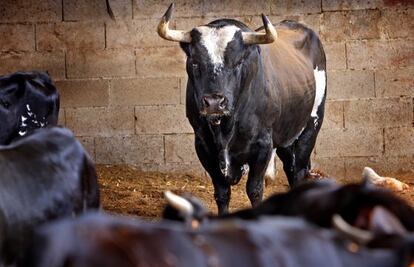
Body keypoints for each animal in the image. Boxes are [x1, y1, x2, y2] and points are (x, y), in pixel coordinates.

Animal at [158, 3, 326, 216]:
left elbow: (254, 190)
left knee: (299, 171)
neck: (225, 128)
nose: (214, 102)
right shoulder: (203, 145)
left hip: (312, 124)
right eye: (194, 61)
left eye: (238, 62)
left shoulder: (263, 145)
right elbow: (222, 193)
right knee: (290, 167)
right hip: (287, 136)